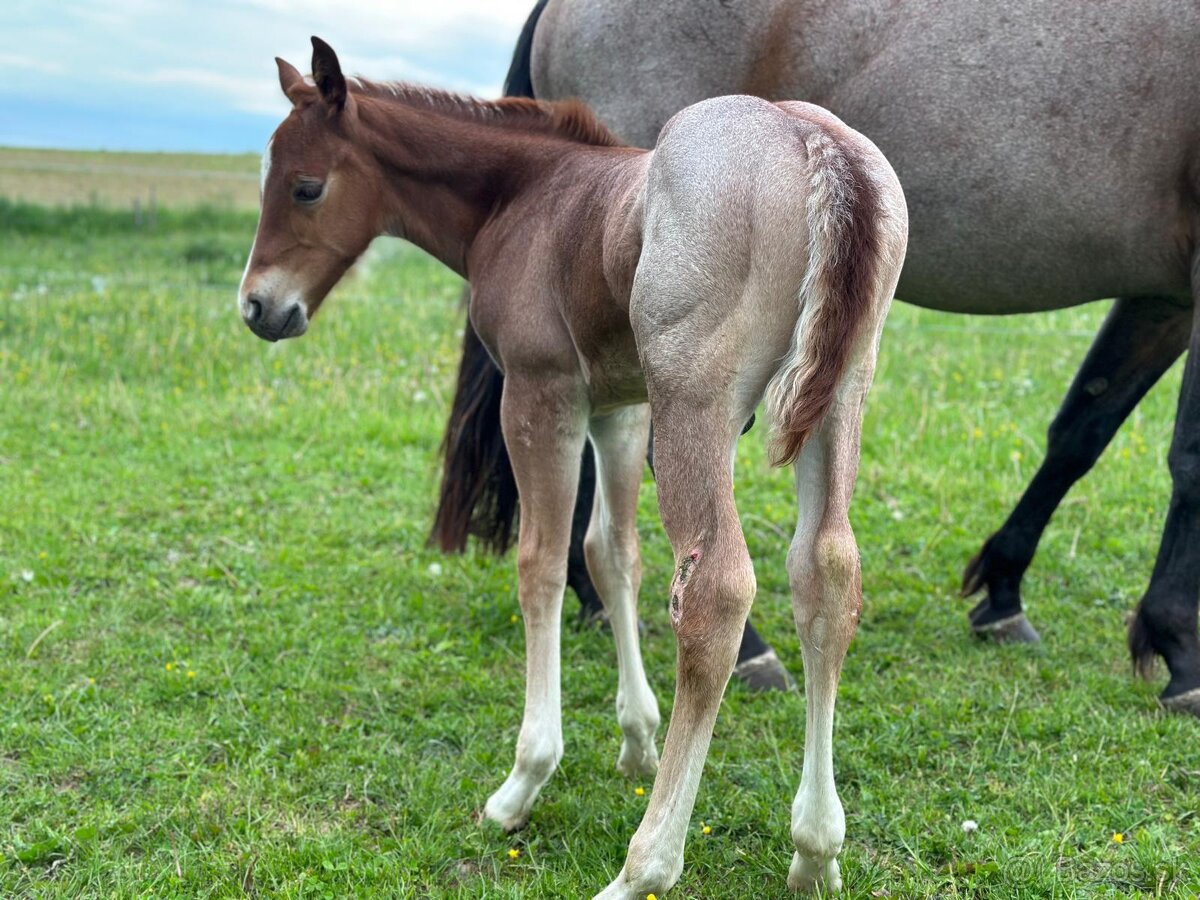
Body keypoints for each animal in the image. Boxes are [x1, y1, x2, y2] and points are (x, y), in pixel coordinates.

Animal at [239, 36, 906, 899]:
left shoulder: (539, 394)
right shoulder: (618, 411)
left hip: (696, 404)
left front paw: (524, 779)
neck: (523, 197)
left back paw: (645, 867)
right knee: (825, 573)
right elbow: (612, 554)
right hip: (840, 396)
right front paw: (636, 739)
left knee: (717, 594)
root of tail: (818, 145)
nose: (259, 307)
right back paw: (816, 850)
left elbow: (543, 562)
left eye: (306, 186)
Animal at [435, 0, 1200, 717]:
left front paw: (1004, 592)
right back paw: (740, 648)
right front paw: (1180, 649)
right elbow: (1187, 460)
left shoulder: (1164, 297)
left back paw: (595, 600)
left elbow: (1081, 431)